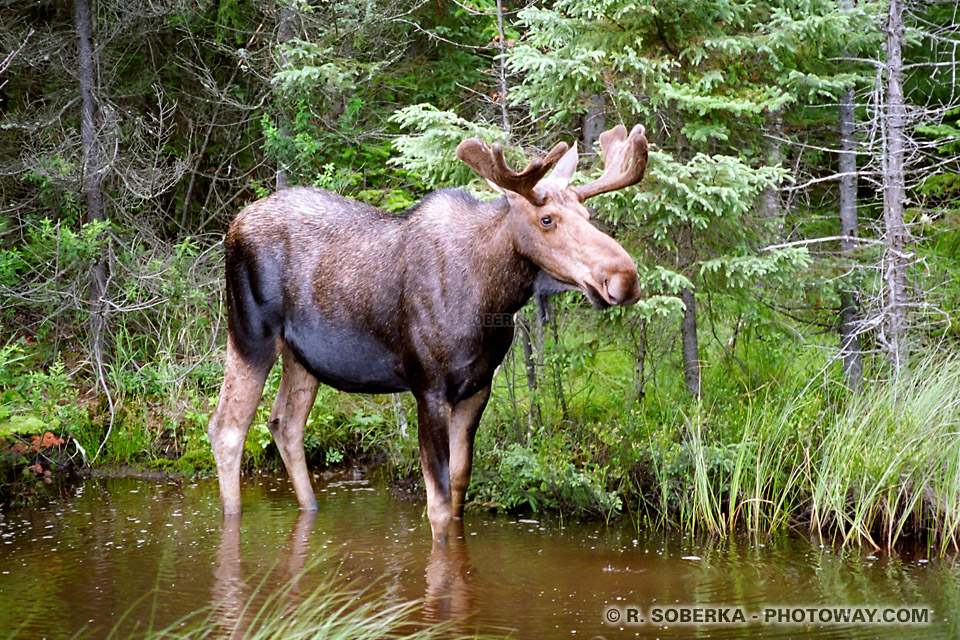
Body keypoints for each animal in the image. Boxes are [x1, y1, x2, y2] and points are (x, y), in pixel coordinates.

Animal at [206, 124, 648, 540]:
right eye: (546, 219)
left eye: (588, 218)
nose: (624, 278)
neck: (493, 301)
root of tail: (231, 227)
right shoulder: (429, 388)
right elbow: (436, 505)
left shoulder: (477, 389)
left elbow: (459, 487)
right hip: (249, 334)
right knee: (227, 428)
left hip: (303, 357)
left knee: (285, 424)